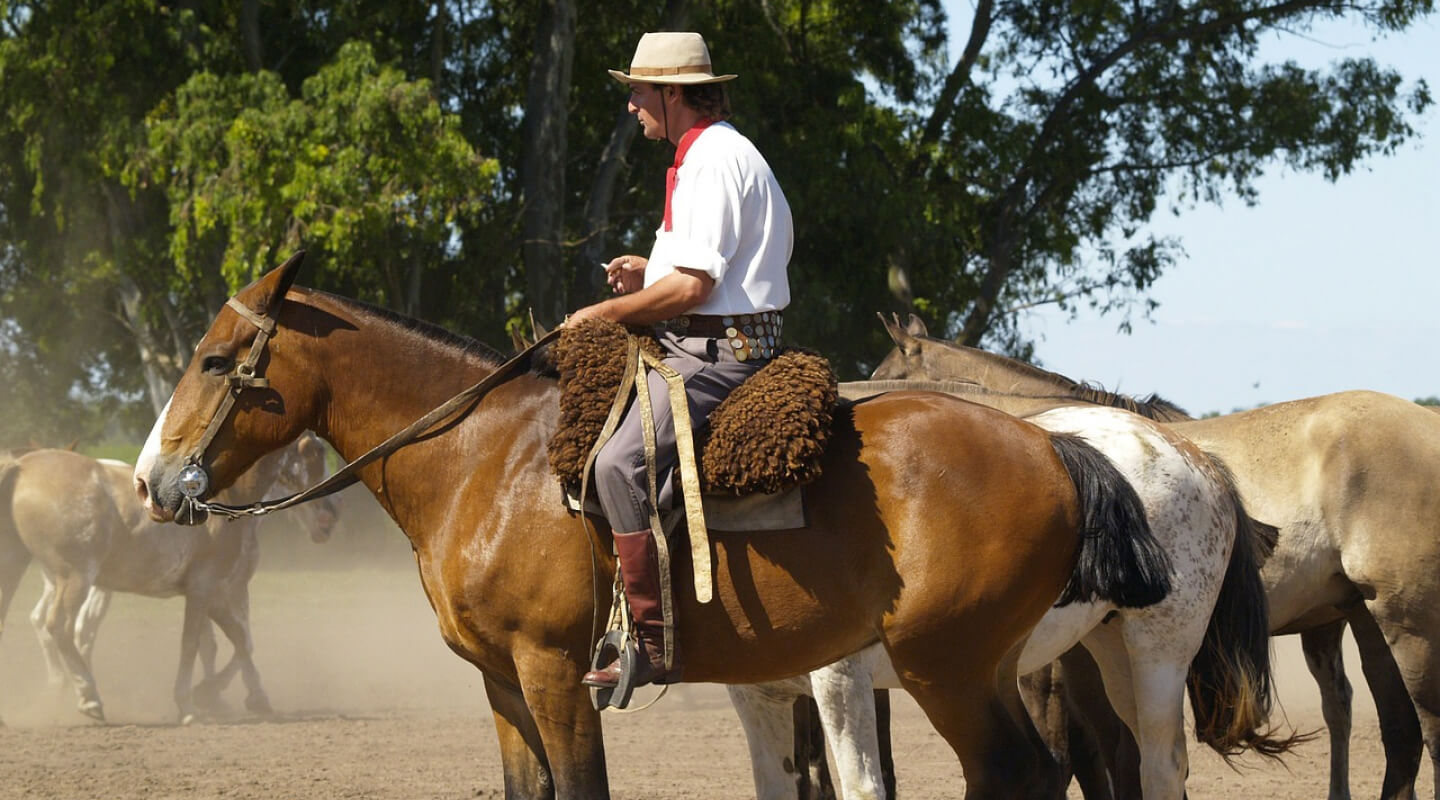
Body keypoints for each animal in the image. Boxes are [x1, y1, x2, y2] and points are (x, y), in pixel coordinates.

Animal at [0, 434, 335, 722]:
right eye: (313, 452)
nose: (330, 517)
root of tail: (23, 466)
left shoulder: (216, 593)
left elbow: (239, 639)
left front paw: (249, 697)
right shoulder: (206, 589)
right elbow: (194, 643)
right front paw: (189, 702)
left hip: (19, 569)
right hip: (76, 577)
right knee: (60, 626)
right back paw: (88, 695)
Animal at [135, 257, 1169, 800]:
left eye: (216, 359)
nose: (149, 481)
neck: (487, 461)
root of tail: (1053, 448)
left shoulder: (557, 674)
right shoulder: (502, 682)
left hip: (944, 666)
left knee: (1018, 773)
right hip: (987, 664)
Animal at [864, 313, 1440, 800]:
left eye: (883, 371)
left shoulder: (1052, 663)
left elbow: (1088, 754)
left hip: (1405, 624)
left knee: (1420, 727)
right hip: (1361, 617)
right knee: (1392, 728)